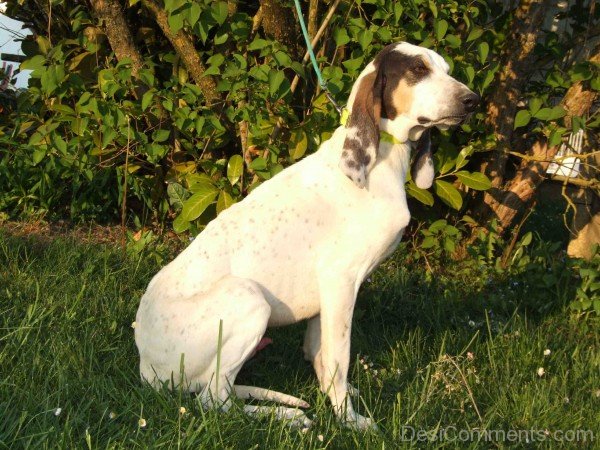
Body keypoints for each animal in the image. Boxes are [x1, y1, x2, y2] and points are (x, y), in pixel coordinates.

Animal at [135, 41, 478, 428]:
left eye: (447, 70)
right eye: (418, 70)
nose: (473, 101)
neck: (376, 164)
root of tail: (146, 365)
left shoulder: (325, 298)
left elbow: (321, 357)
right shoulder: (340, 282)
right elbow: (338, 360)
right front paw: (348, 419)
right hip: (249, 299)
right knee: (213, 398)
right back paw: (285, 416)